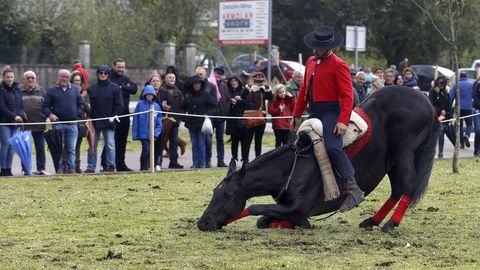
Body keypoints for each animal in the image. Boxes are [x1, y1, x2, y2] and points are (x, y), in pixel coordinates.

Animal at [197, 86, 440, 232]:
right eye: (214, 192)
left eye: (228, 194)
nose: (203, 222)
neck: (291, 168)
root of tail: (427, 102)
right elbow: (263, 219)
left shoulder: (298, 207)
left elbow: (256, 209)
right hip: (392, 162)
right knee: (398, 190)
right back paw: (373, 220)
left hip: (404, 154)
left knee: (408, 186)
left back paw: (390, 223)